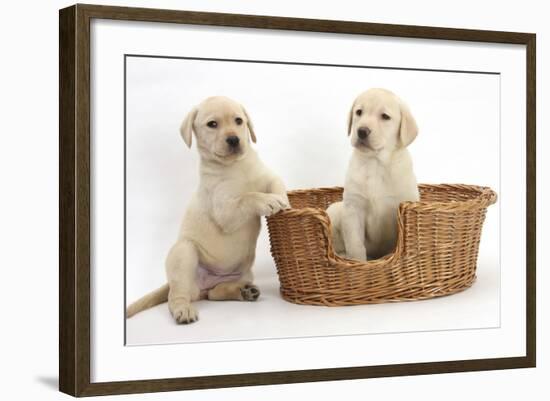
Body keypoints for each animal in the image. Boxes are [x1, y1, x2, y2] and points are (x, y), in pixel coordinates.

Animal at [125, 96, 288, 322]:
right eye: (212, 124)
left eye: (239, 121)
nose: (234, 140)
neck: (236, 166)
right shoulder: (225, 211)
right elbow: (248, 197)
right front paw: (268, 202)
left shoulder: (268, 176)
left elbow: (276, 185)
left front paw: (284, 202)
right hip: (184, 252)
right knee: (176, 295)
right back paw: (183, 310)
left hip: (244, 272)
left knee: (214, 293)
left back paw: (243, 291)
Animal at [328, 88, 422, 260]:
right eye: (359, 112)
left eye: (385, 116)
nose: (361, 131)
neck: (375, 163)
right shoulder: (353, 208)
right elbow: (355, 244)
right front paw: (357, 262)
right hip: (336, 210)